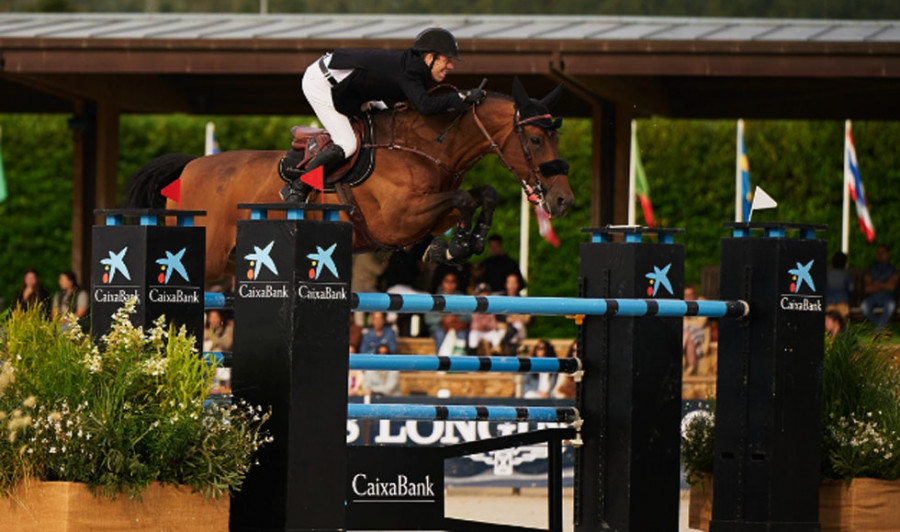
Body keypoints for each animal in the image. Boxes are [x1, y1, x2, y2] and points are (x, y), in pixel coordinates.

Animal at [125, 78, 576, 282]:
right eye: (537, 139)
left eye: (557, 136)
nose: (564, 201)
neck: (425, 145)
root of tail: (190, 167)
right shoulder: (399, 220)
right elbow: (465, 199)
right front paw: (454, 248)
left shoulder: (431, 212)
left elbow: (483, 194)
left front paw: (462, 244)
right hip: (208, 258)